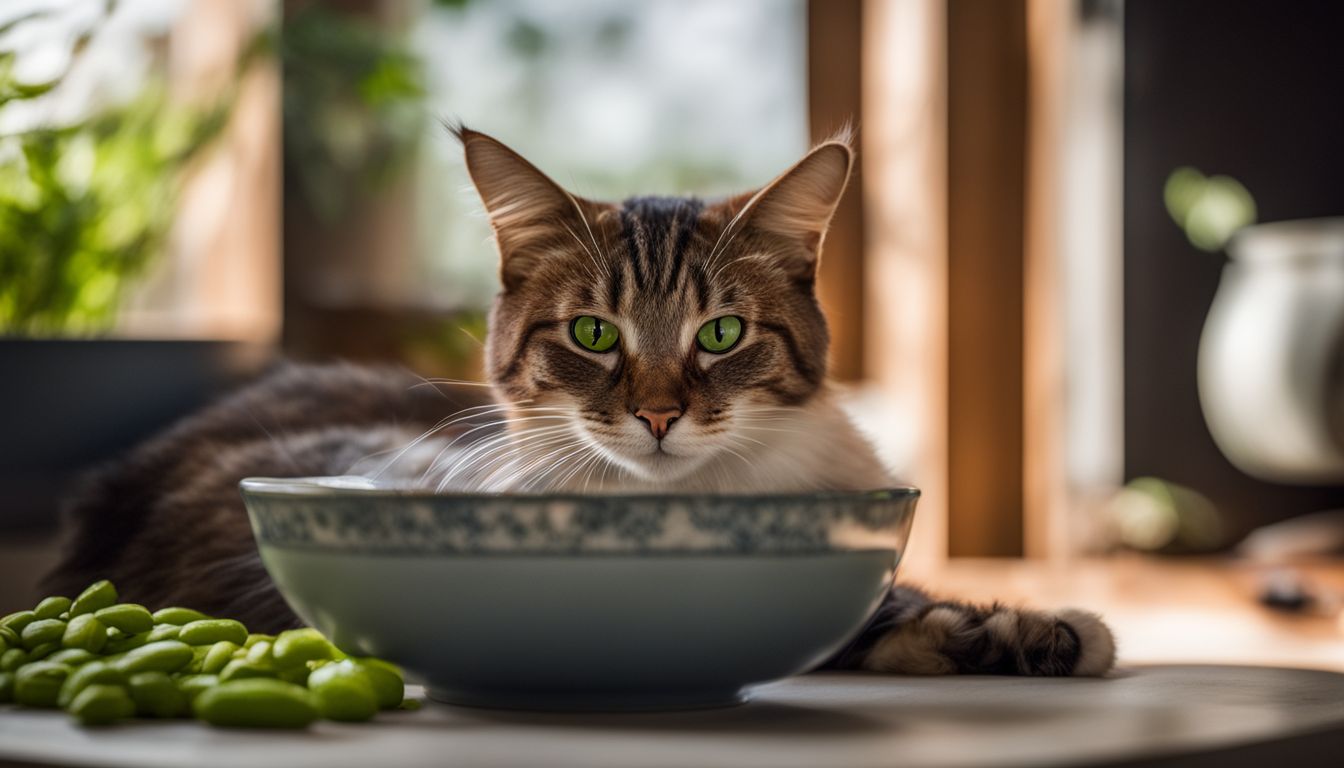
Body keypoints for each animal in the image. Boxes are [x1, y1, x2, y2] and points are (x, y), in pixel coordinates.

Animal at [44, 127, 1112, 677]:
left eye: (721, 334)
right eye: (594, 334)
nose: (658, 415)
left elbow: (908, 601)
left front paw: (1033, 631)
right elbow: (888, 617)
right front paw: (1023, 634)